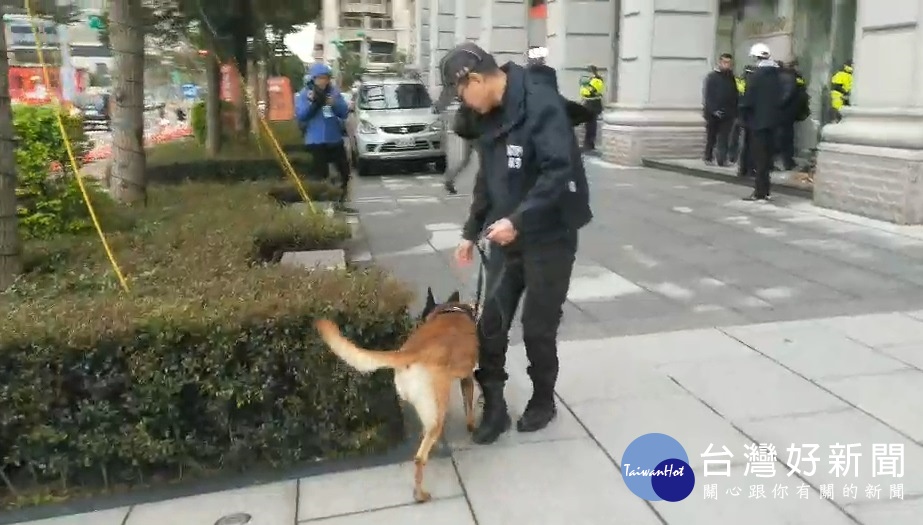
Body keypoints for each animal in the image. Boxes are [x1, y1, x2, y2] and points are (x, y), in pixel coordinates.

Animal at [316, 288, 480, 502]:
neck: (451, 310)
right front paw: (472, 426)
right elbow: (468, 405)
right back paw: (420, 494)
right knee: (420, 457)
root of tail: (411, 352)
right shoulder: (467, 378)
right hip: (437, 408)